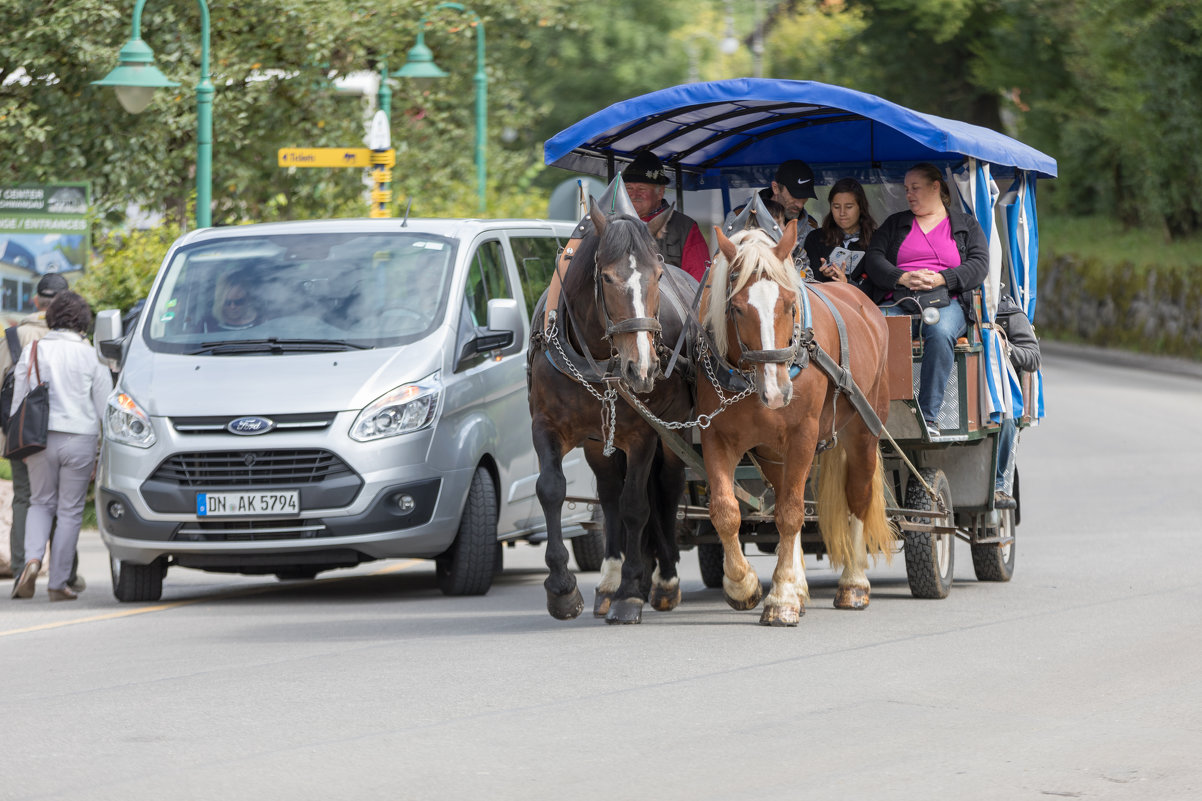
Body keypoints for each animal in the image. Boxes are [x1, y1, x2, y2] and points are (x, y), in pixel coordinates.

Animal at [528, 198, 697, 625]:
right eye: (605, 278)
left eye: (657, 276)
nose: (642, 369)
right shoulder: (545, 426)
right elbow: (551, 489)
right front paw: (562, 588)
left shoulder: (643, 435)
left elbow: (636, 505)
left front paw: (631, 593)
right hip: (597, 441)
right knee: (607, 493)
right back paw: (609, 582)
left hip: (674, 433)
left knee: (667, 489)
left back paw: (664, 580)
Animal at [697, 220, 894, 625]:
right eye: (736, 308)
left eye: (790, 305)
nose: (777, 392)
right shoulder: (716, 437)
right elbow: (726, 511)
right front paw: (744, 585)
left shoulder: (803, 435)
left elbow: (790, 514)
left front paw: (782, 597)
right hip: (774, 453)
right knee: (793, 496)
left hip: (863, 429)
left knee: (857, 497)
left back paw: (854, 584)